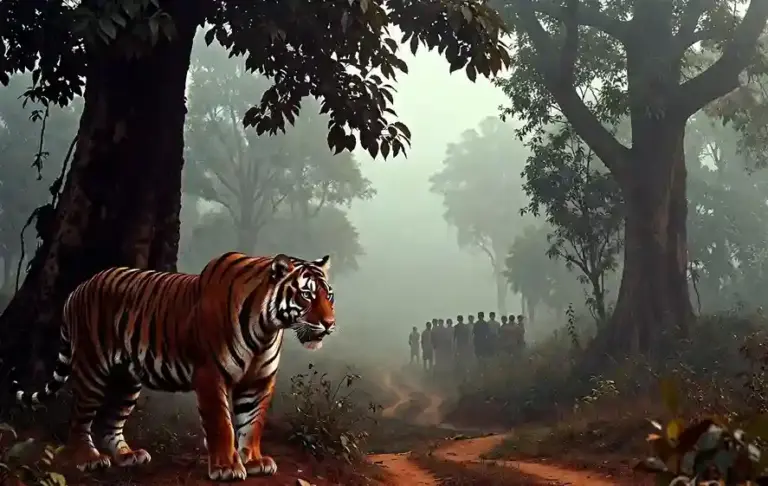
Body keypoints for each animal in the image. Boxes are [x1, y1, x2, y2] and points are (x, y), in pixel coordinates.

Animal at [10, 252, 335, 481]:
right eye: (306, 294)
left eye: (328, 294)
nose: (330, 324)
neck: (268, 327)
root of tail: (78, 289)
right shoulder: (210, 373)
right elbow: (221, 423)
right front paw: (226, 467)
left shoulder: (260, 380)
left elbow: (253, 423)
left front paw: (254, 461)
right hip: (92, 368)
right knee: (79, 418)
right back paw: (88, 458)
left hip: (127, 380)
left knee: (110, 421)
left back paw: (128, 456)